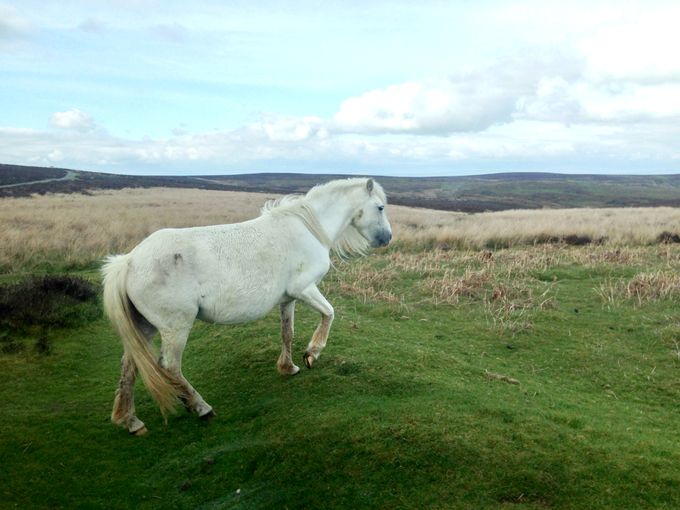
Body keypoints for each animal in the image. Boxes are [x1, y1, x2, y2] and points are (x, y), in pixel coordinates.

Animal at [103, 178, 396, 434]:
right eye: (380, 207)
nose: (387, 238)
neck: (308, 228)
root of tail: (128, 261)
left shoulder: (288, 299)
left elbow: (287, 333)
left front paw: (288, 368)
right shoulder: (305, 289)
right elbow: (329, 313)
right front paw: (313, 353)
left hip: (146, 326)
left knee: (129, 367)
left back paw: (131, 421)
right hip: (176, 328)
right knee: (170, 368)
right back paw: (201, 408)